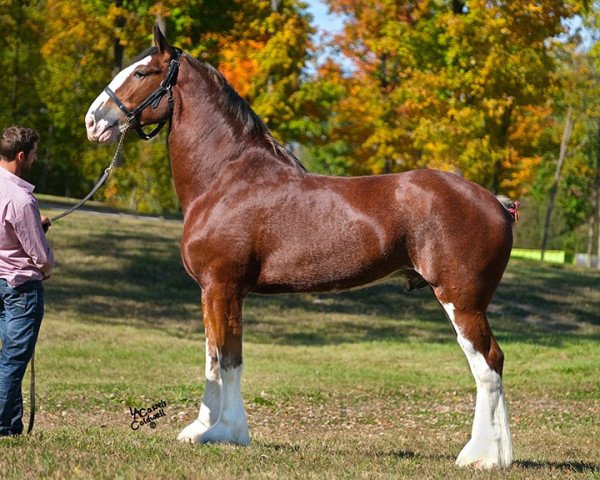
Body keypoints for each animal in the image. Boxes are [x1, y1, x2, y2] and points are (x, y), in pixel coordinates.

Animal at [84, 26, 516, 468]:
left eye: (142, 72)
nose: (93, 121)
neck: (226, 178)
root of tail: (497, 203)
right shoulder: (209, 291)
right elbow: (212, 359)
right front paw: (200, 429)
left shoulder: (225, 288)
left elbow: (230, 359)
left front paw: (227, 432)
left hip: (461, 301)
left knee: (488, 363)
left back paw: (483, 457)